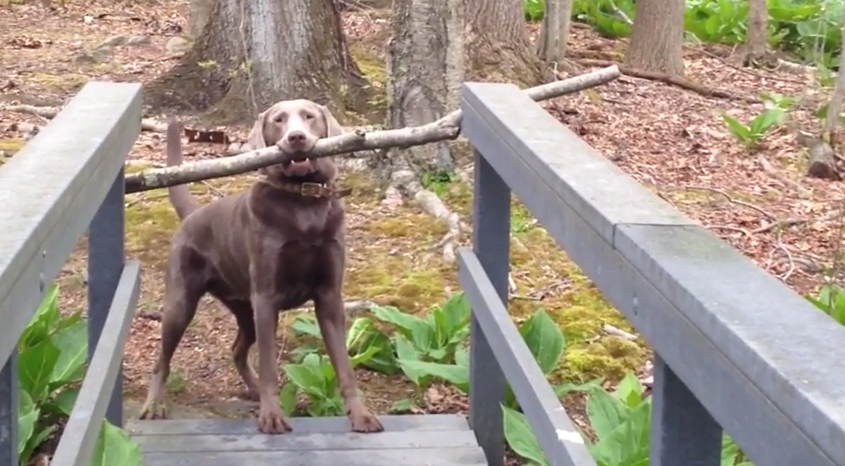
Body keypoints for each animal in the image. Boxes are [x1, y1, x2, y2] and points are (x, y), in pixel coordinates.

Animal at [140, 100, 384, 436]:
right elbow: (269, 365)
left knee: (237, 350)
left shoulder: (330, 297)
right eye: (278, 120)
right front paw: (272, 416)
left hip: (245, 309)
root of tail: (192, 215)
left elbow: (345, 367)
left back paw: (253, 388)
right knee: (162, 358)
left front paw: (361, 415)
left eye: (309, 116)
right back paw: (154, 405)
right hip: (182, 303)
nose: (296, 137)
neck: (302, 203)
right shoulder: (267, 298)